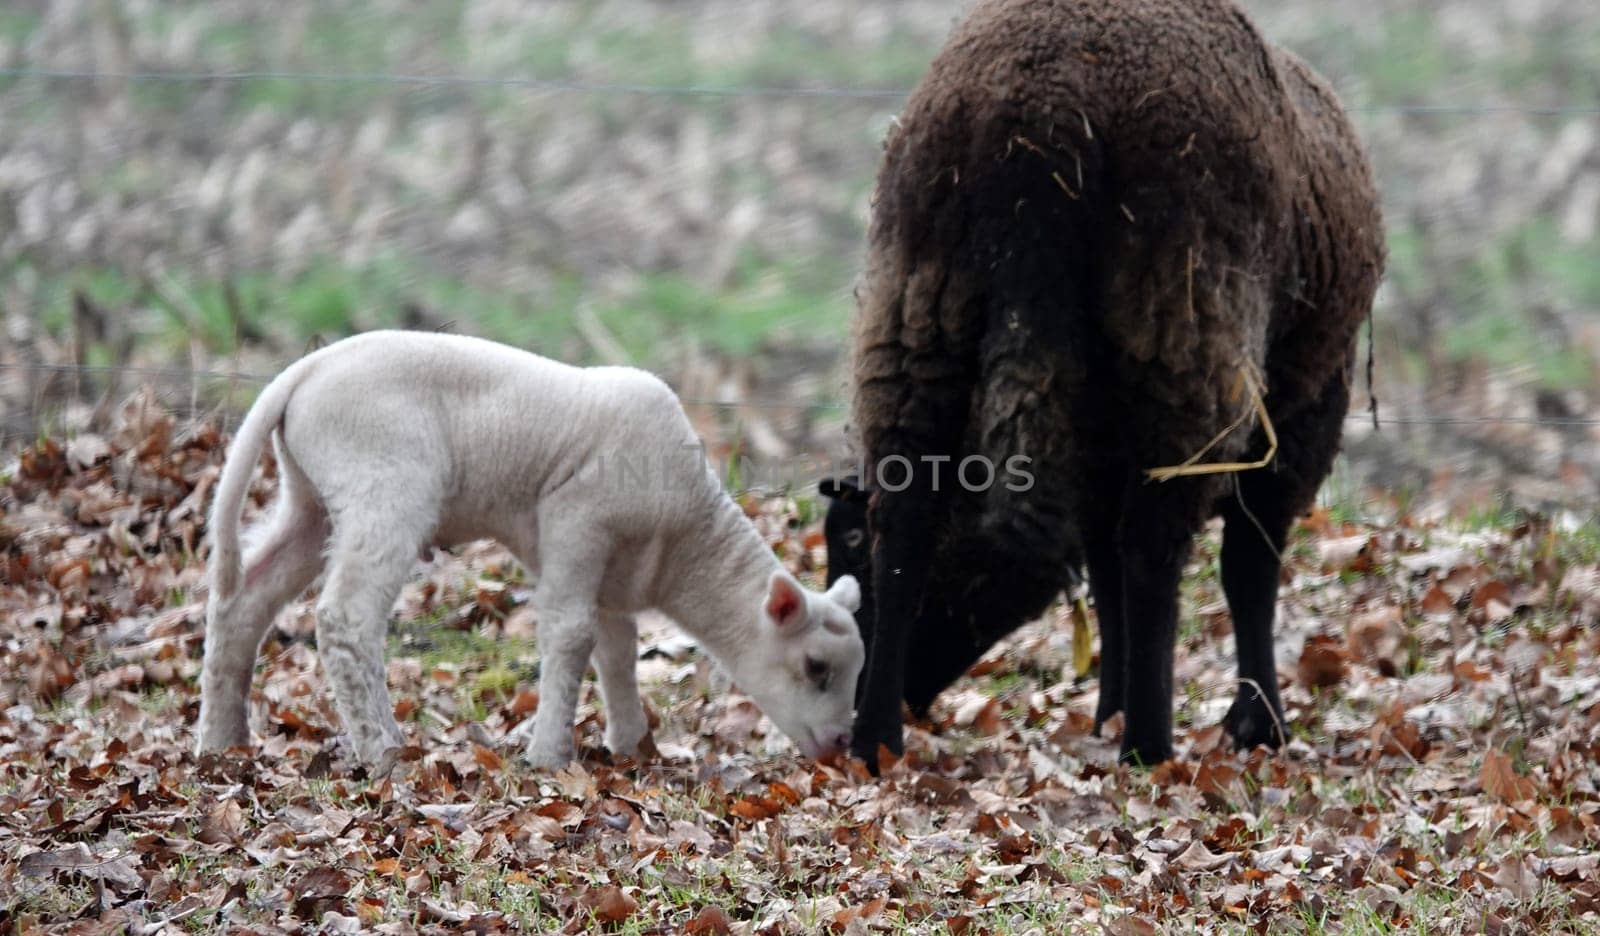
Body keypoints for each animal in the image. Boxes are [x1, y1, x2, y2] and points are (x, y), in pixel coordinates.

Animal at [195, 332, 870, 771]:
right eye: (816, 667)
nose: (842, 744)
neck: (686, 541)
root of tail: (302, 373)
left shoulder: (614, 572)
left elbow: (617, 650)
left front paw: (632, 744)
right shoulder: (578, 522)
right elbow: (572, 636)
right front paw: (549, 756)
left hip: (311, 497)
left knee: (243, 602)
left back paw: (222, 740)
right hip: (385, 485)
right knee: (345, 618)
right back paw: (384, 750)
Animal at [844, 0, 1382, 768]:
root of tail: (1040, 126)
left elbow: (1102, 569)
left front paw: (1112, 706)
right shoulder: (1305, 408)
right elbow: (1246, 568)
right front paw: (1256, 724)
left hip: (916, 310)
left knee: (908, 517)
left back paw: (875, 738)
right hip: (1180, 328)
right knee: (1154, 547)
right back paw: (1150, 744)